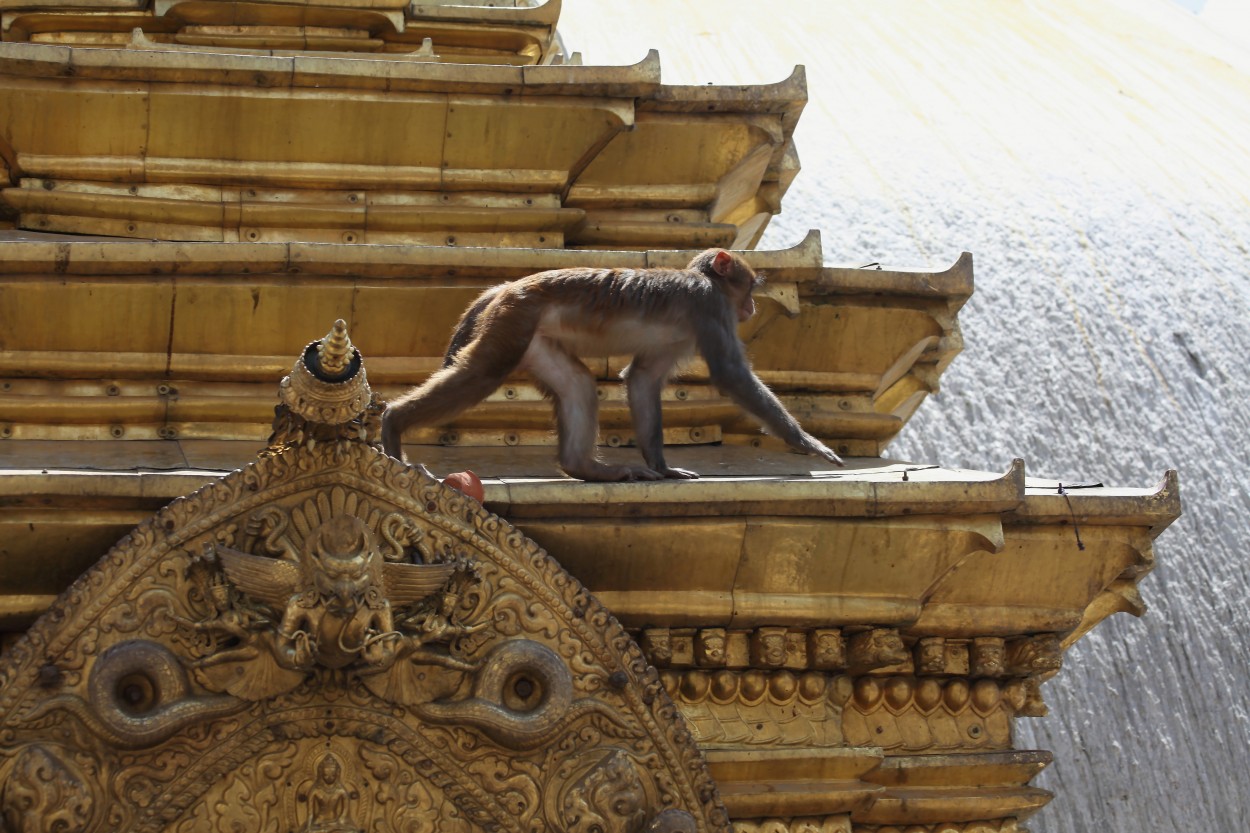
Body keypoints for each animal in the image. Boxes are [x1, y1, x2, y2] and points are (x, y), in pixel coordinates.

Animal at [380, 247, 845, 480]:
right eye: (747, 287)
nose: (750, 306)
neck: (703, 280)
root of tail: (507, 286)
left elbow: (641, 378)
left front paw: (662, 467)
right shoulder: (709, 307)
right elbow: (730, 375)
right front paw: (807, 442)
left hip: (534, 338)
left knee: (578, 386)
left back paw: (586, 469)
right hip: (515, 320)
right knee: (483, 373)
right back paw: (393, 423)